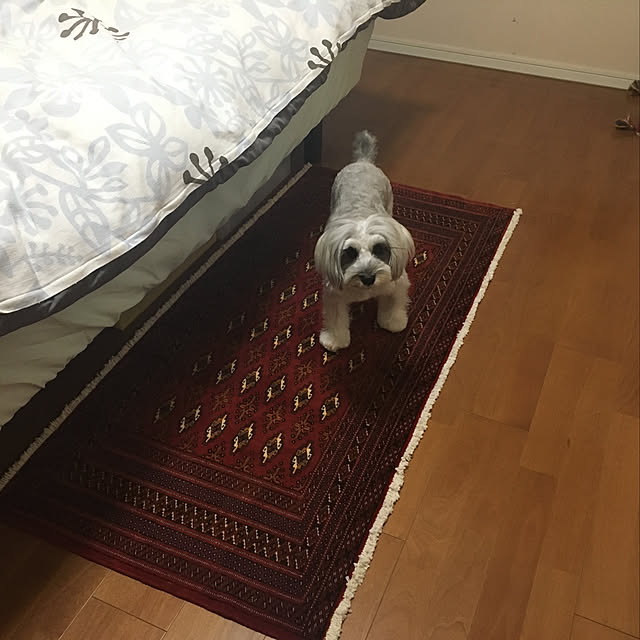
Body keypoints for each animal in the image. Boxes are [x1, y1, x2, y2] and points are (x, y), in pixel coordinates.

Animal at [314, 131, 415, 352]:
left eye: (379, 249)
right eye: (350, 253)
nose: (368, 277)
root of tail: (362, 161)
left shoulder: (397, 283)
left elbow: (394, 303)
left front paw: (393, 321)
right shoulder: (334, 294)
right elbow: (336, 317)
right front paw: (335, 339)